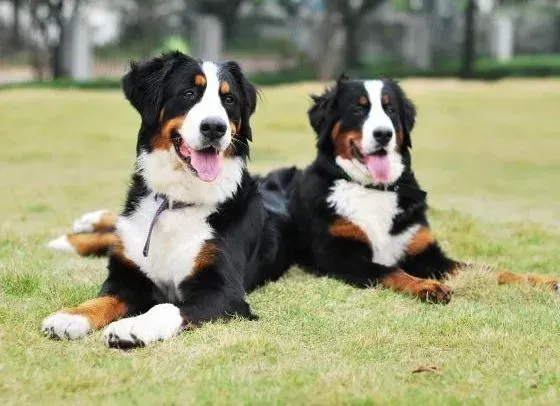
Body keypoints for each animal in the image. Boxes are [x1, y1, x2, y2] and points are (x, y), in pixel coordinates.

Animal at [41, 52, 296, 348]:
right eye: (188, 93)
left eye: (229, 99)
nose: (215, 127)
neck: (175, 201)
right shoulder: (128, 275)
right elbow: (103, 298)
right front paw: (70, 317)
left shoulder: (223, 291)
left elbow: (166, 307)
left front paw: (132, 327)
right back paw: (76, 232)